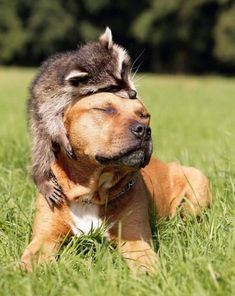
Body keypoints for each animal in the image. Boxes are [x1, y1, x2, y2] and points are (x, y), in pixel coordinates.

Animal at [20, 92, 211, 272]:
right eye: (105, 109)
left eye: (144, 115)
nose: (144, 129)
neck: (91, 194)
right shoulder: (45, 237)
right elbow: (31, 259)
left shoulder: (136, 240)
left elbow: (146, 266)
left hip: (198, 181)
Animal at [27, 27, 138, 208]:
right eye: (111, 87)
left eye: (122, 72)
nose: (133, 94)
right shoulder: (52, 93)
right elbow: (50, 115)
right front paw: (60, 135)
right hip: (35, 117)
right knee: (43, 146)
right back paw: (41, 176)